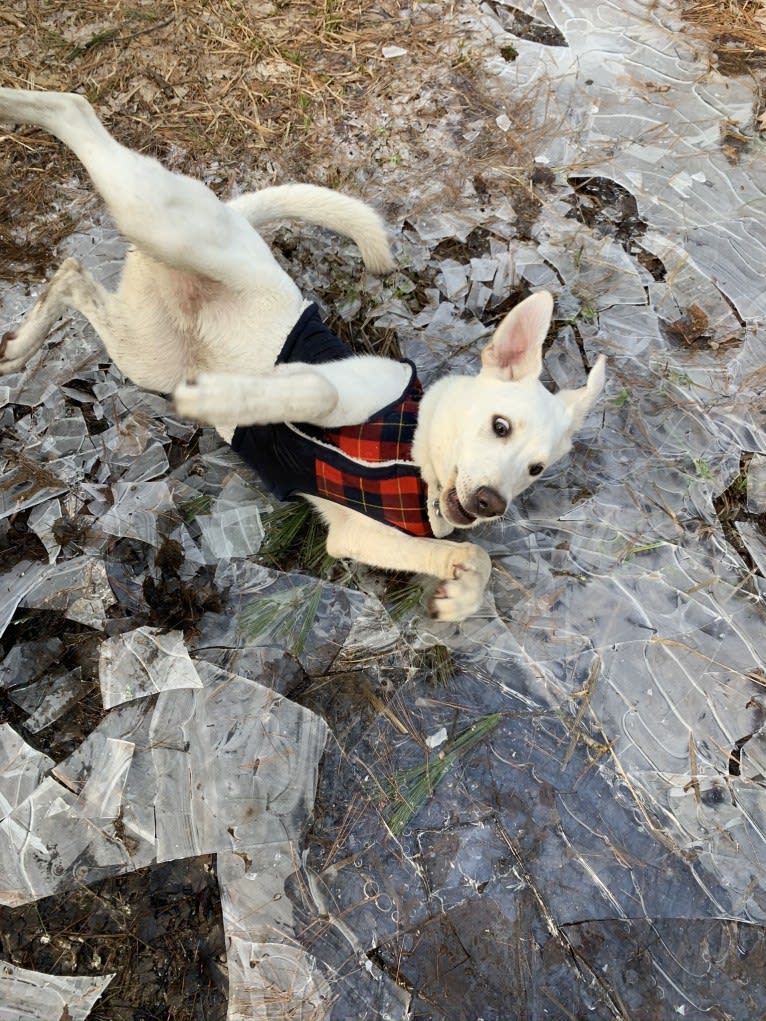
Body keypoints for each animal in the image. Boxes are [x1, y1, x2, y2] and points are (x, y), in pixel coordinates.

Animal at [1, 91, 604, 620]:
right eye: (500, 425)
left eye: (536, 469)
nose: (489, 504)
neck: (412, 460)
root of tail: (238, 219)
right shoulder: (332, 384)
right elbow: (317, 386)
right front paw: (227, 398)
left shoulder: (356, 535)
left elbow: (473, 555)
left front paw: (460, 596)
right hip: (161, 224)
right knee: (74, 109)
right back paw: (14, 105)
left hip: (144, 349)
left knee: (72, 275)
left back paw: (18, 348)